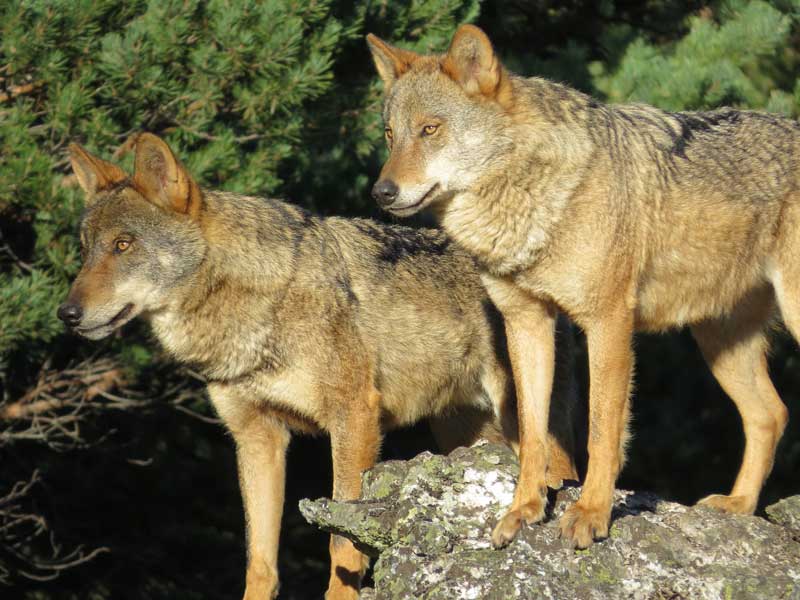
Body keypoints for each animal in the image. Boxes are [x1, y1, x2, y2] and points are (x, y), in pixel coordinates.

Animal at [58, 133, 579, 598]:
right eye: (85, 249)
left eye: (124, 245)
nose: (67, 313)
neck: (251, 312)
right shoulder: (257, 438)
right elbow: (260, 563)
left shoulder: (353, 418)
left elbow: (342, 543)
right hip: (464, 441)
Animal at [367, 23, 799, 550]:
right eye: (391, 134)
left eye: (431, 129)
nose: (382, 192)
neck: (531, 198)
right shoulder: (526, 323)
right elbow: (534, 433)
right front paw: (523, 511)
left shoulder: (607, 322)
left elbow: (601, 433)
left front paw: (591, 514)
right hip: (718, 344)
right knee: (770, 414)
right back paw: (738, 505)